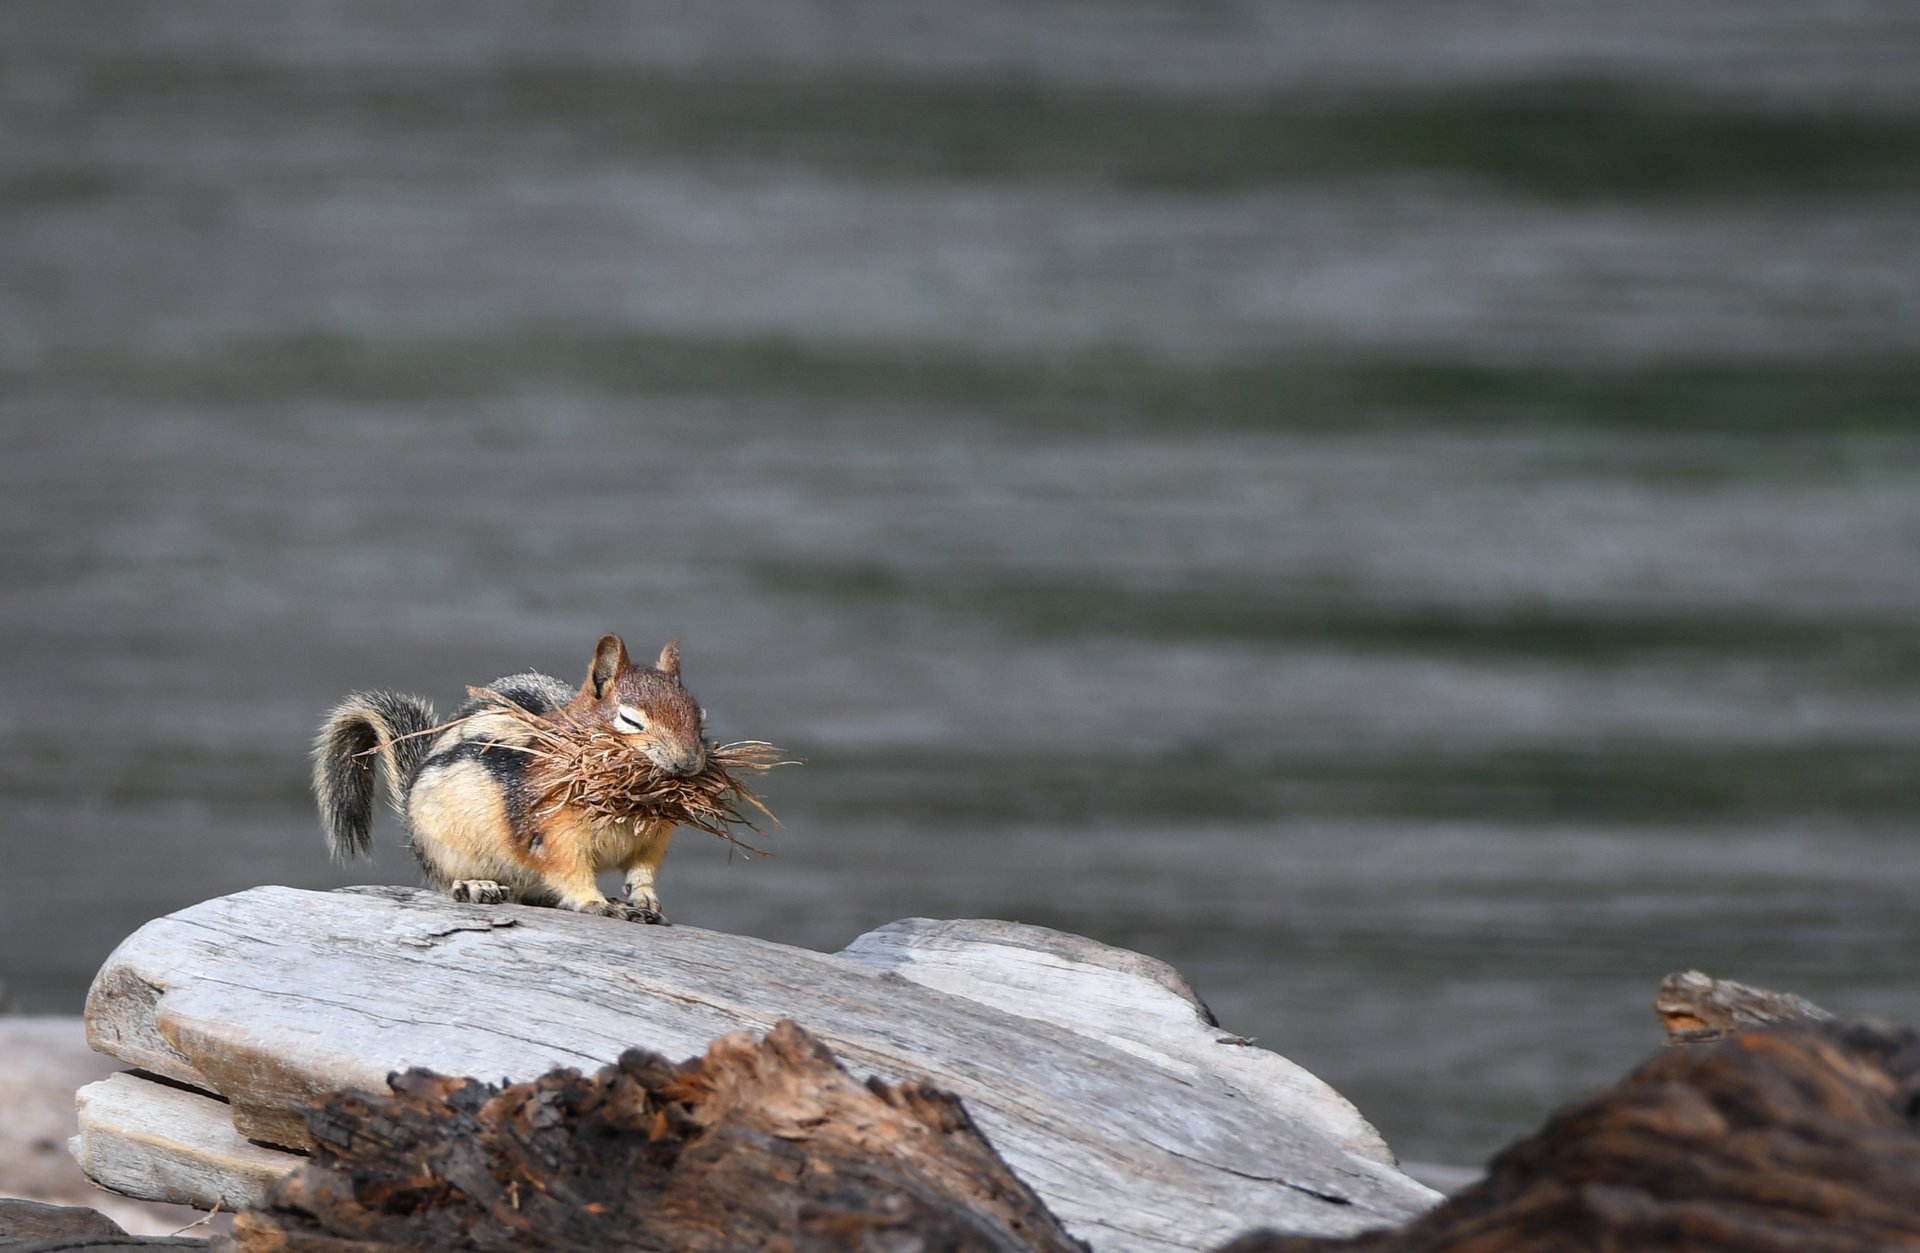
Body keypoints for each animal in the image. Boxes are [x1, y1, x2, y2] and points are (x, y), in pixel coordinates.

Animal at [311, 634, 707, 924]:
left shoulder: (652, 840)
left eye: (699, 716)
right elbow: (570, 872)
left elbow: (643, 871)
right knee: (447, 881)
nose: (688, 762)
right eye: (630, 720)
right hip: (445, 848)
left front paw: (646, 900)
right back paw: (477, 886)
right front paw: (598, 903)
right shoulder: (554, 833)